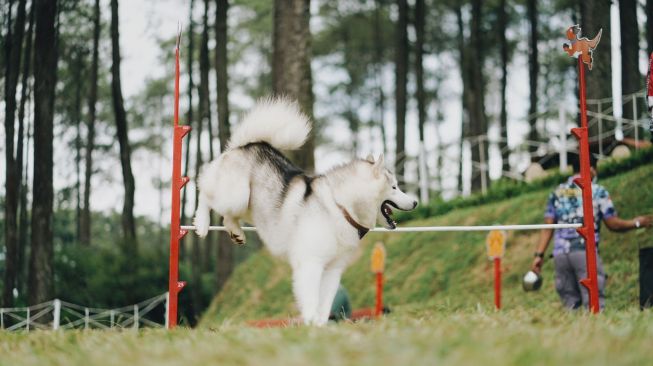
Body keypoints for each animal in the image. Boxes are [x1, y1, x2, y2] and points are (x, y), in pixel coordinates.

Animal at [195, 98, 418, 326]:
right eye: (394, 187)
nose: (415, 202)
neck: (340, 208)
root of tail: (248, 145)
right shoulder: (310, 263)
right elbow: (311, 300)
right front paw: (310, 325)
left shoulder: (332, 270)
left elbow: (325, 304)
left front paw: (320, 326)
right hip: (235, 196)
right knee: (204, 190)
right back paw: (202, 223)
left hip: (248, 207)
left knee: (227, 217)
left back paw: (236, 232)